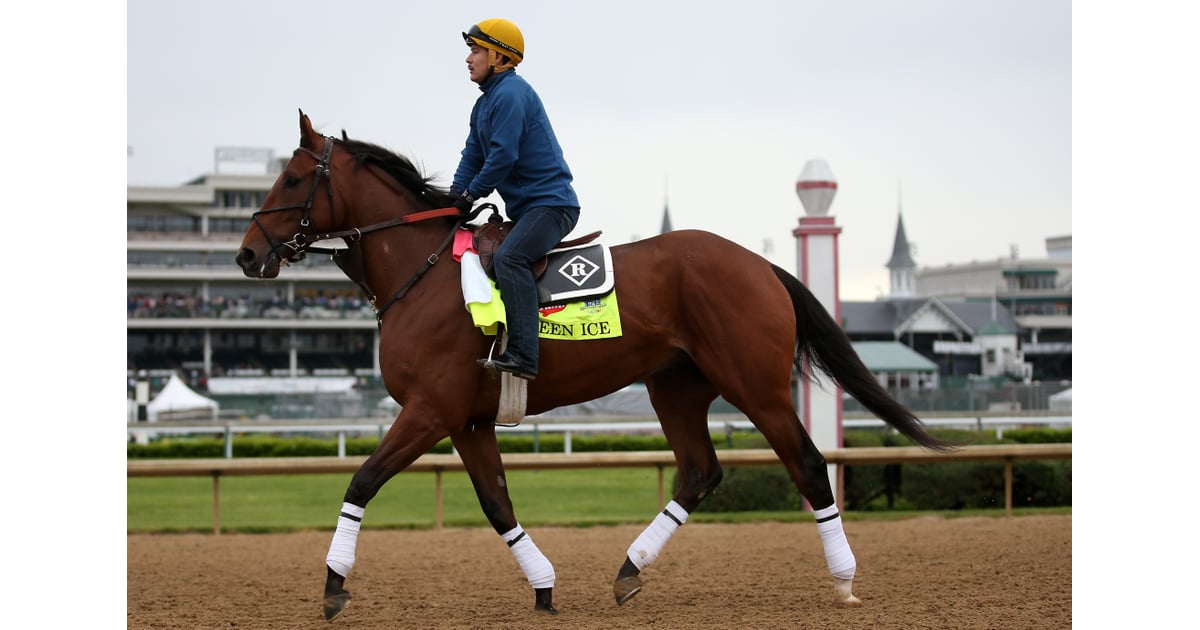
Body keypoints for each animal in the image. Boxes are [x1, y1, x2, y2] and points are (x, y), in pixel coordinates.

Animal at [236, 110, 955, 619]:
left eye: (292, 179)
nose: (247, 255)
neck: (427, 271)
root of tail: (759, 263)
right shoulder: (467, 421)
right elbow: (496, 503)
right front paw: (545, 586)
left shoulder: (429, 410)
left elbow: (362, 482)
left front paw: (334, 585)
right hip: (676, 388)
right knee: (700, 471)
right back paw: (630, 570)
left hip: (756, 386)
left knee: (805, 464)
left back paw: (844, 579)